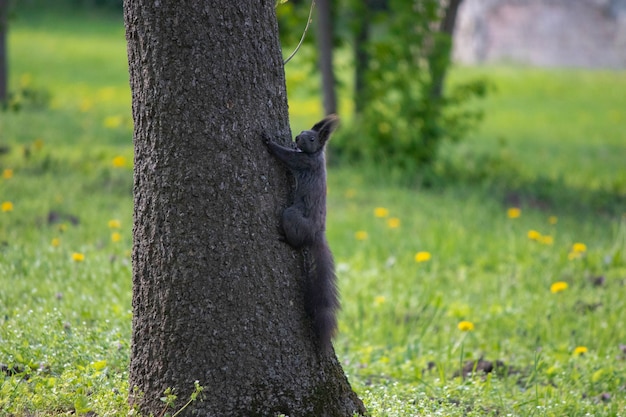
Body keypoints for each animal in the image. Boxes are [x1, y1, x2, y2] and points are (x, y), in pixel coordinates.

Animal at [264, 114, 342, 352]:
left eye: (311, 138)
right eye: (302, 132)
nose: (297, 138)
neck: (316, 154)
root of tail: (317, 234)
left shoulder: (303, 162)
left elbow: (286, 156)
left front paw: (268, 141)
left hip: (291, 215)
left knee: (297, 243)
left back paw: (285, 239)